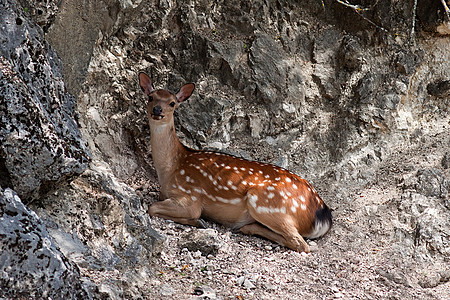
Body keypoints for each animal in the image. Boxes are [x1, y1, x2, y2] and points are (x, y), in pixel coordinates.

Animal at [139, 72, 332, 253]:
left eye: (172, 103)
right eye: (151, 97)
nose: (157, 110)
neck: (171, 169)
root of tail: (322, 214)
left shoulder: (190, 196)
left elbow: (152, 208)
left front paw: (198, 221)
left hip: (266, 203)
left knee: (300, 243)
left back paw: (246, 227)